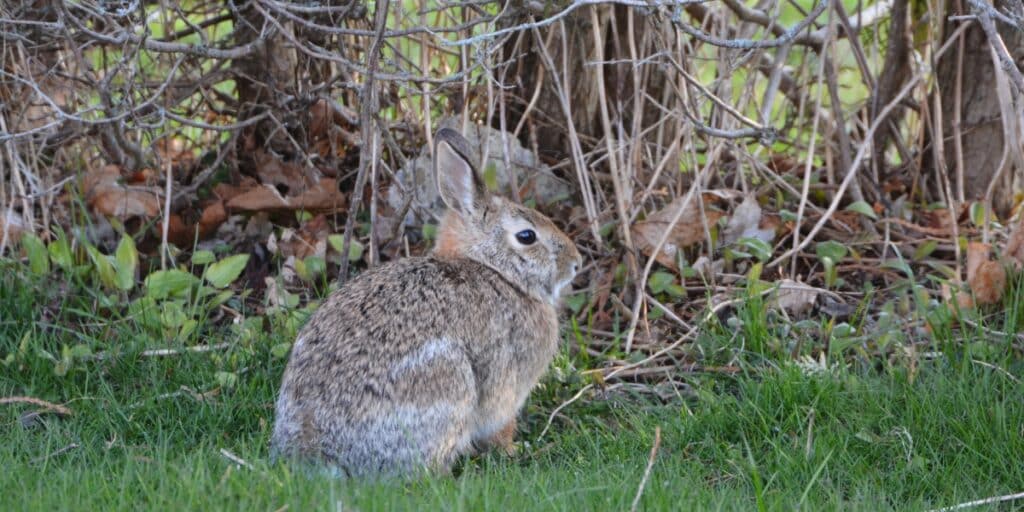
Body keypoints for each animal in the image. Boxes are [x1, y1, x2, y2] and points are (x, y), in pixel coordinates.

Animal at [270, 127, 583, 477]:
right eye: (527, 236)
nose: (576, 263)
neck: (495, 270)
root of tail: (318, 450)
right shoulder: (507, 389)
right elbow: (500, 428)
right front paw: (515, 450)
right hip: (449, 383)